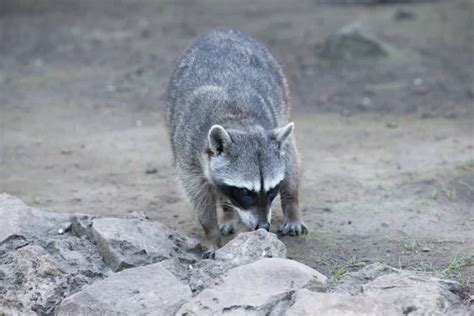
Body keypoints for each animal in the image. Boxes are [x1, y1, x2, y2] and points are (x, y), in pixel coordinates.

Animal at [167, 28, 308, 256]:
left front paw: (289, 201)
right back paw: (227, 212)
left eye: (271, 190)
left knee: (291, 157)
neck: (237, 120)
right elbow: (198, 195)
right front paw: (212, 234)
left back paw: (291, 205)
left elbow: (289, 165)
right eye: (245, 192)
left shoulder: (272, 124)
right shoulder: (188, 154)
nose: (263, 226)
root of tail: (221, 31)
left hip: (282, 95)